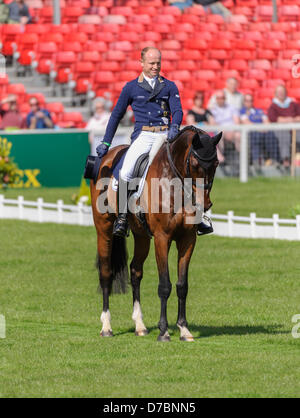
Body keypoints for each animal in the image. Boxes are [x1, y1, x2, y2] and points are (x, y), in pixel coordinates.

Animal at [90, 125, 221, 342]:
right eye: (194, 163)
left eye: (217, 163)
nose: (206, 203)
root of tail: (109, 156)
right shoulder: (162, 238)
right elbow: (164, 285)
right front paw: (164, 331)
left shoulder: (188, 239)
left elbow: (182, 285)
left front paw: (184, 330)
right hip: (104, 230)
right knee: (106, 273)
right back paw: (106, 327)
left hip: (142, 236)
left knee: (135, 271)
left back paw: (140, 325)